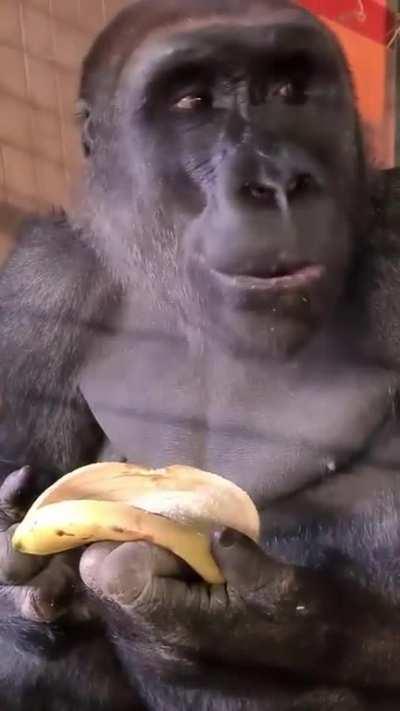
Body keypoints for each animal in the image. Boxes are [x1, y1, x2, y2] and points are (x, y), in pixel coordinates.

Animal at [0, 0, 400, 708]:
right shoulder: (36, 290)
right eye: (192, 103)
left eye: (289, 91)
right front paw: (34, 590)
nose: (276, 184)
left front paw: (255, 628)